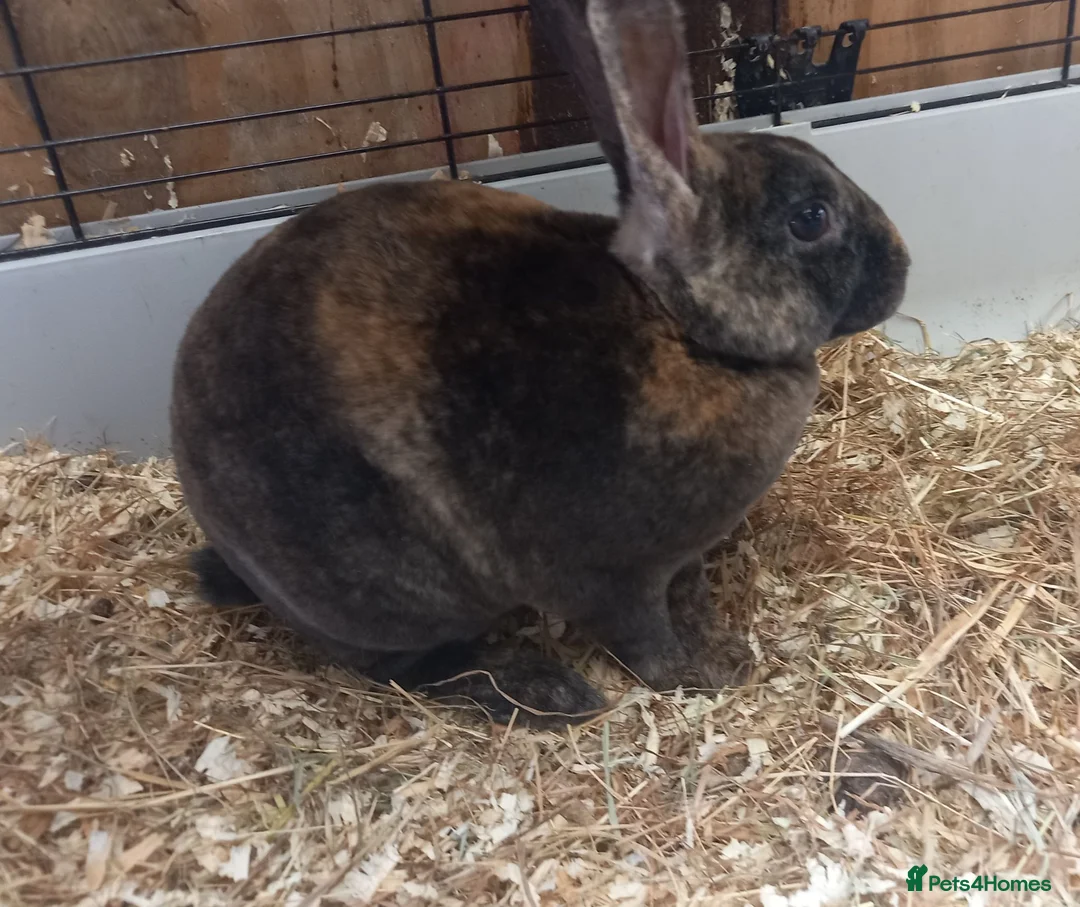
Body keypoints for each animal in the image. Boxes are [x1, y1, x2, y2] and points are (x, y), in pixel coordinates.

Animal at [171, 0, 909, 726]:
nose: (901, 265)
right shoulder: (611, 579)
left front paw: (723, 651)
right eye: (811, 218)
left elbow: (691, 596)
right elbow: (644, 635)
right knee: (411, 669)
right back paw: (547, 692)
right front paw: (690, 676)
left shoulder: (679, 560)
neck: (678, 329)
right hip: (393, 597)